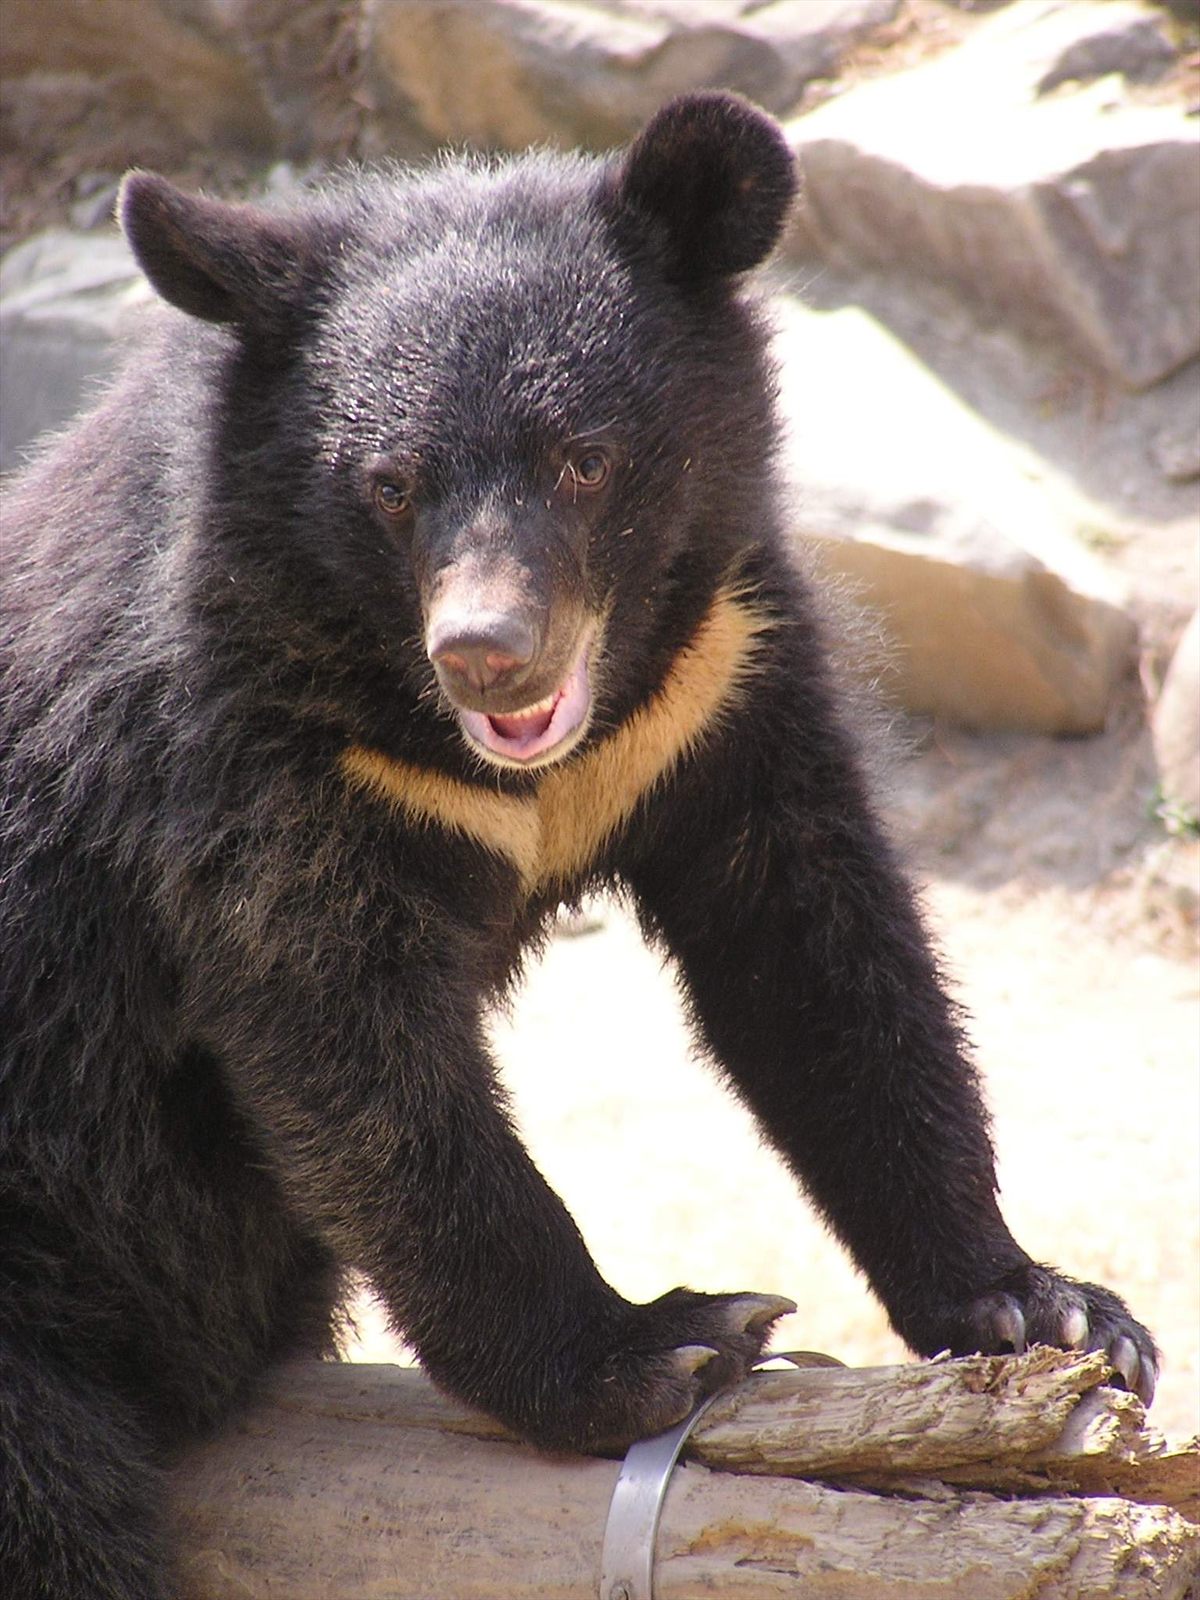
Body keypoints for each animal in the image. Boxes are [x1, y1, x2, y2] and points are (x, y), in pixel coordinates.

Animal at [0, 92, 1156, 1599]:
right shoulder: (238, 758)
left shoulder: (716, 682)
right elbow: (355, 1059)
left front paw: (1045, 1308)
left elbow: (822, 954)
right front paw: (662, 1344)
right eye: (391, 484)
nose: (488, 653)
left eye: (585, 459)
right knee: (62, 1502)